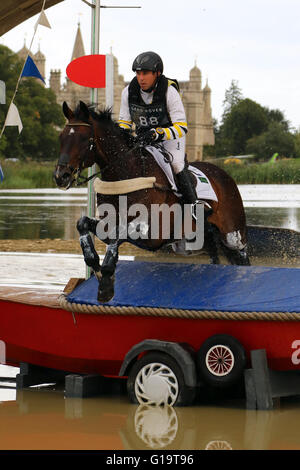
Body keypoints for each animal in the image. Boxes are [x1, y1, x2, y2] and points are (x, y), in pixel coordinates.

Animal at [54, 101, 251, 302]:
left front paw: (106, 285)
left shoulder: (152, 232)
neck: (127, 173)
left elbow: (118, 233)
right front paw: (95, 265)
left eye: (84, 139)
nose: (61, 176)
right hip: (202, 237)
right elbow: (83, 224)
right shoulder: (109, 225)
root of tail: (225, 174)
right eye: (61, 137)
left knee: (242, 257)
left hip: (232, 234)